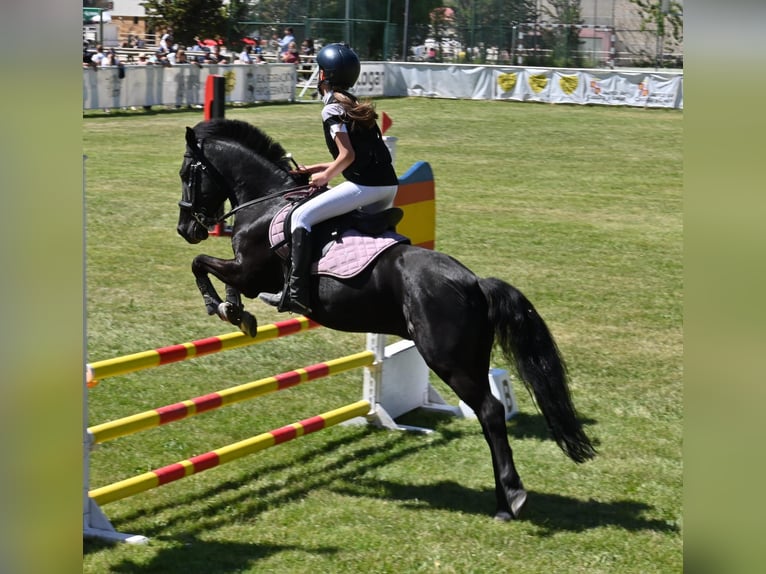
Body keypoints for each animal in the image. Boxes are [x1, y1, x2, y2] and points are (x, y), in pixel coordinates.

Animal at [177, 118, 596, 520]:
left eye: (186, 173)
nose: (186, 229)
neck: (267, 202)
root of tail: (474, 282)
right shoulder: (243, 272)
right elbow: (219, 277)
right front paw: (236, 312)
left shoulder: (249, 272)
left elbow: (201, 264)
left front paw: (219, 306)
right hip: (472, 357)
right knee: (487, 412)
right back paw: (503, 501)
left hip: (448, 360)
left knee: (490, 412)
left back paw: (512, 498)